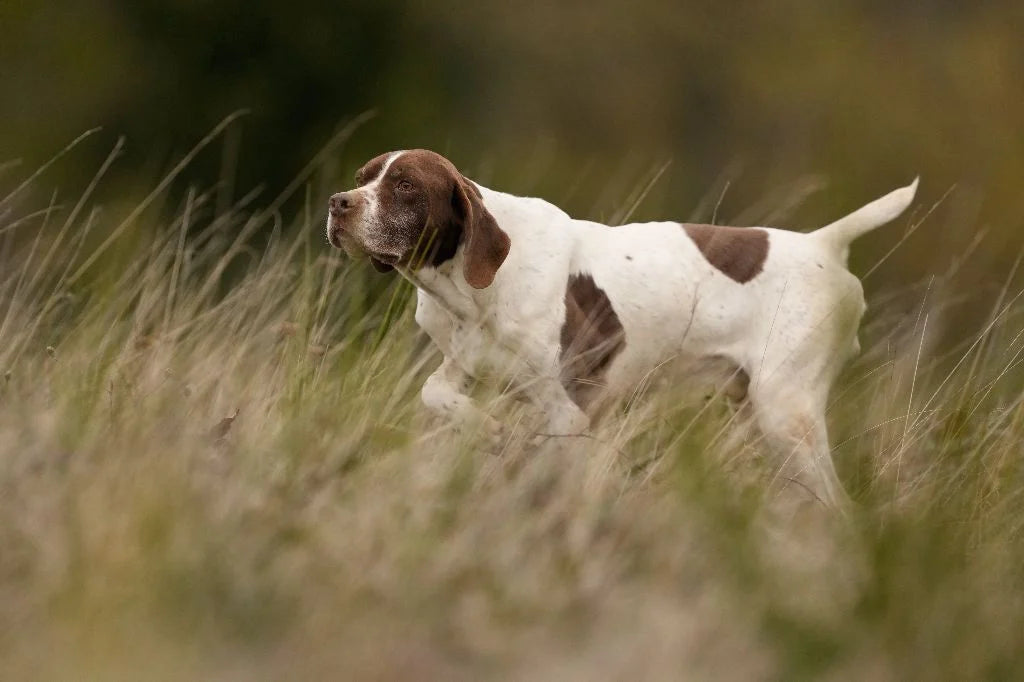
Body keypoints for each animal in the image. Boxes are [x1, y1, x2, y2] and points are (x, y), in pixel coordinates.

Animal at [327, 150, 921, 509]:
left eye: (405, 185)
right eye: (361, 179)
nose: (337, 204)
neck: (473, 291)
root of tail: (826, 242)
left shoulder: (569, 412)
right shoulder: (463, 368)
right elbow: (437, 394)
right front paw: (487, 430)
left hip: (785, 413)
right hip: (760, 413)